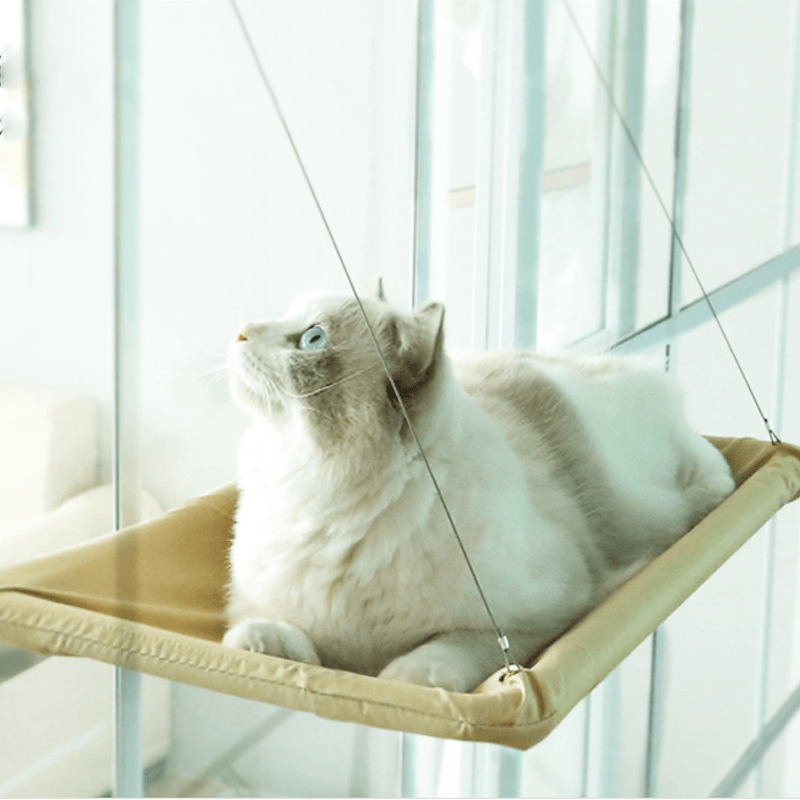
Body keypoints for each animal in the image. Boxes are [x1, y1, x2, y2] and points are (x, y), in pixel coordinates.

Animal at [222, 290, 736, 692]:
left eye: (313, 339)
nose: (241, 332)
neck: (322, 498)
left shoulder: (547, 614)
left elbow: (448, 651)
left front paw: (406, 675)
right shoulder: (266, 602)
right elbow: (270, 635)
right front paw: (266, 647)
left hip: (644, 499)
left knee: (710, 473)